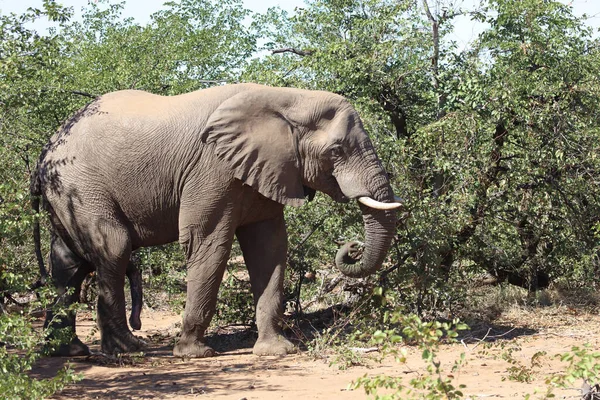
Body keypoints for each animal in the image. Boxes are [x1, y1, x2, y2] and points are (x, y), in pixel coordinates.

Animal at [30, 83, 400, 358]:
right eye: (336, 151)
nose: (351, 247)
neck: (288, 98)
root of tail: (47, 148)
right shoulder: (212, 169)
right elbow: (208, 243)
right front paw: (194, 353)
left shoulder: (266, 170)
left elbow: (269, 248)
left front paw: (277, 351)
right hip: (81, 184)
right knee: (113, 249)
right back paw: (128, 350)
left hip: (66, 191)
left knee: (67, 263)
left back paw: (68, 352)